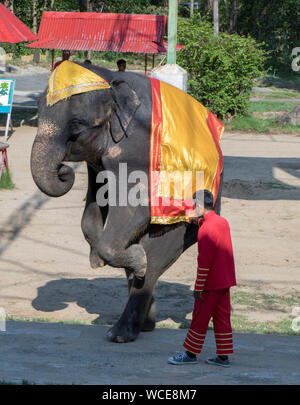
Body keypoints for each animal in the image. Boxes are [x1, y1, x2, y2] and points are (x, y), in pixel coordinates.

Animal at [31, 61, 223, 342]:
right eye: (36, 112)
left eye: (77, 125)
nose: (64, 171)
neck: (111, 81)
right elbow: (97, 199)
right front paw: (97, 259)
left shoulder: (136, 148)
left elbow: (136, 208)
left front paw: (132, 258)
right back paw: (144, 324)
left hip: (192, 218)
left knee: (154, 261)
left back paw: (122, 330)